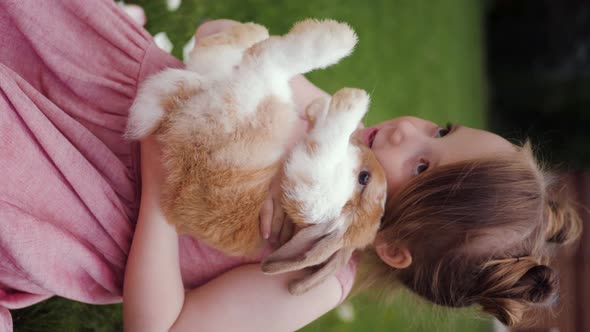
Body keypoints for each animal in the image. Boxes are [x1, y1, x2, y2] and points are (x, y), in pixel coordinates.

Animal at [126, 19, 388, 294]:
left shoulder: (307, 187)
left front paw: (341, 106)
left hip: (248, 97)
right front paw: (329, 107)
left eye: (364, 178)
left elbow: (323, 145)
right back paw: (337, 43)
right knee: (258, 53)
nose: (362, 141)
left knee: (256, 56)